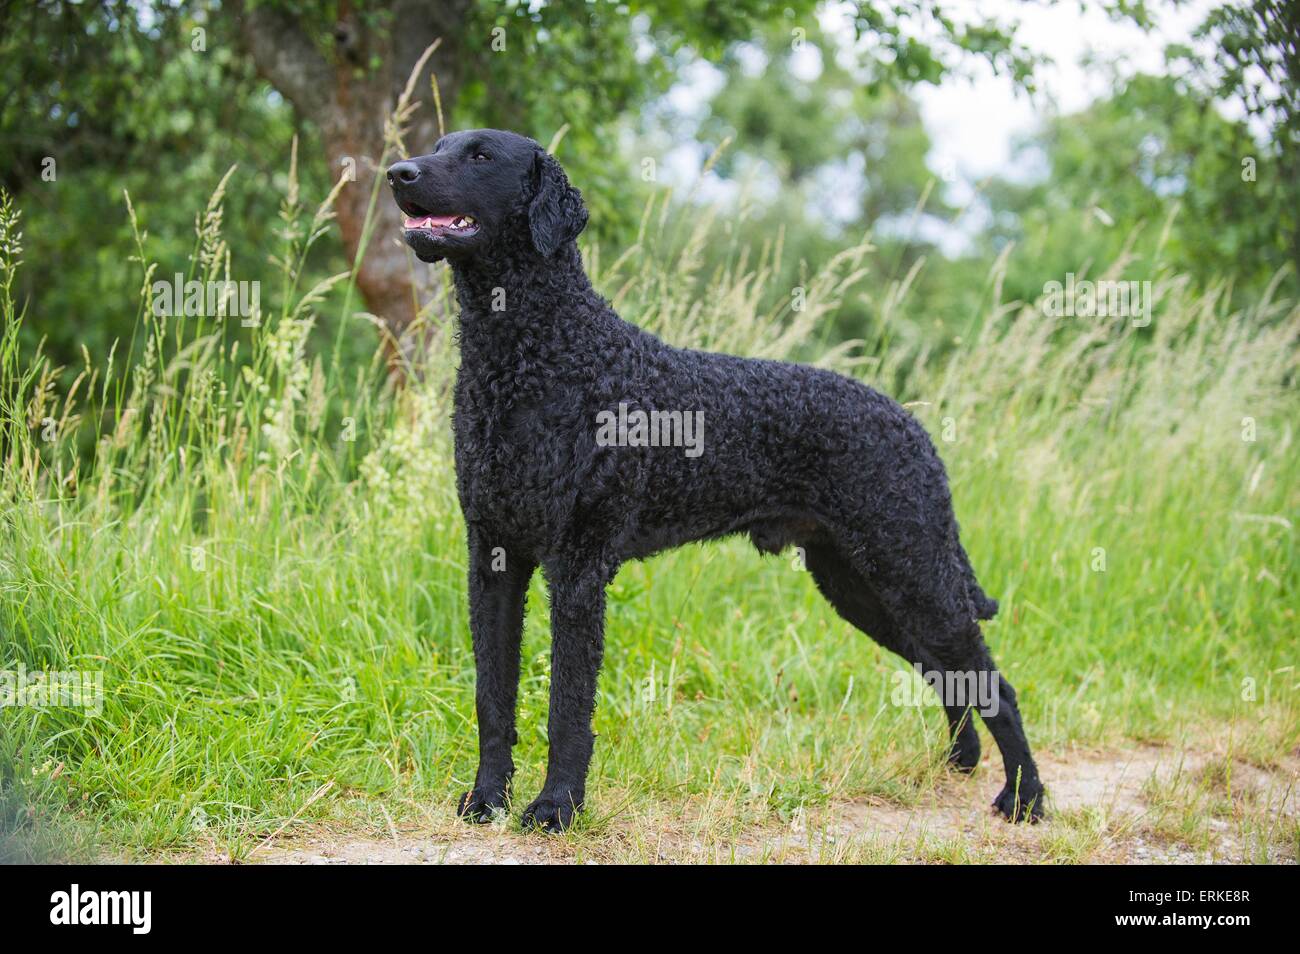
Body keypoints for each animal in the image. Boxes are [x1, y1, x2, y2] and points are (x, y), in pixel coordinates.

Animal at [384, 130, 1045, 831]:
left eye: (481, 156)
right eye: (439, 145)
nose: (398, 172)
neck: (533, 355)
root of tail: (915, 427)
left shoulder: (579, 567)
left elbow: (568, 706)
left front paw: (557, 806)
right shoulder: (493, 557)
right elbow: (492, 698)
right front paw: (487, 799)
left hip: (911, 567)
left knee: (996, 684)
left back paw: (1024, 797)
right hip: (860, 583)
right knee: (947, 673)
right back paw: (961, 762)